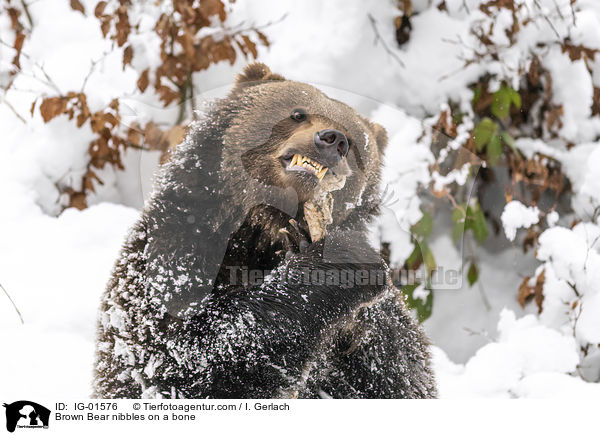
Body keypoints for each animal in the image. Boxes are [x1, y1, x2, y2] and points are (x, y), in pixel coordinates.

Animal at [94, 63, 436, 400]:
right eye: (298, 113)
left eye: (352, 139)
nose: (333, 139)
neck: (262, 229)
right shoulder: (173, 249)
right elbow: (179, 356)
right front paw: (342, 259)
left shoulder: (380, 350)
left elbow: (398, 374)